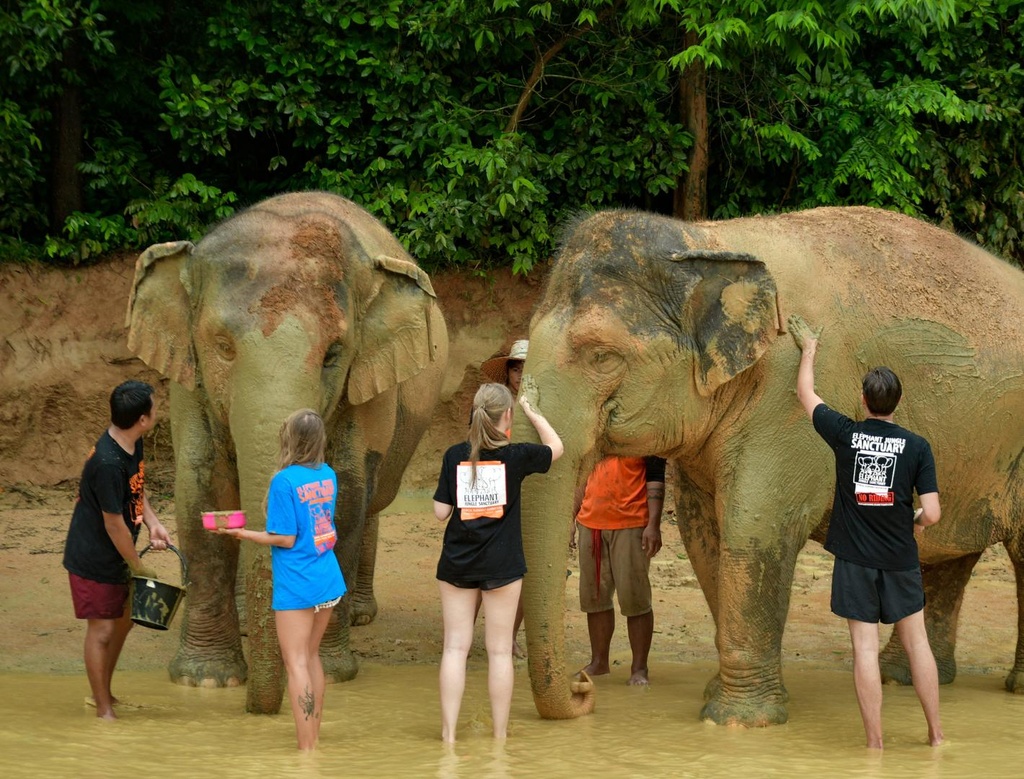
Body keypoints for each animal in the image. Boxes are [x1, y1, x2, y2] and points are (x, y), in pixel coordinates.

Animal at [123, 191, 448, 712]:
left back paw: (358, 615)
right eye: (222, 346)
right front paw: (205, 681)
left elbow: (347, 494)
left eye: (333, 354)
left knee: (373, 499)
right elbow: (202, 490)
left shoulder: (364, 384)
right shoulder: (189, 382)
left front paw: (329, 672)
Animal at [516, 204, 1024, 724]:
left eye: (602, 356)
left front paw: (736, 721)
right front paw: (720, 699)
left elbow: (754, 526)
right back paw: (903, 678)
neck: (705, 241)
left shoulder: (786, 401)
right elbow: (704, 535)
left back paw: (1011, 687)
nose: (582, 685)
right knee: (947, 552)